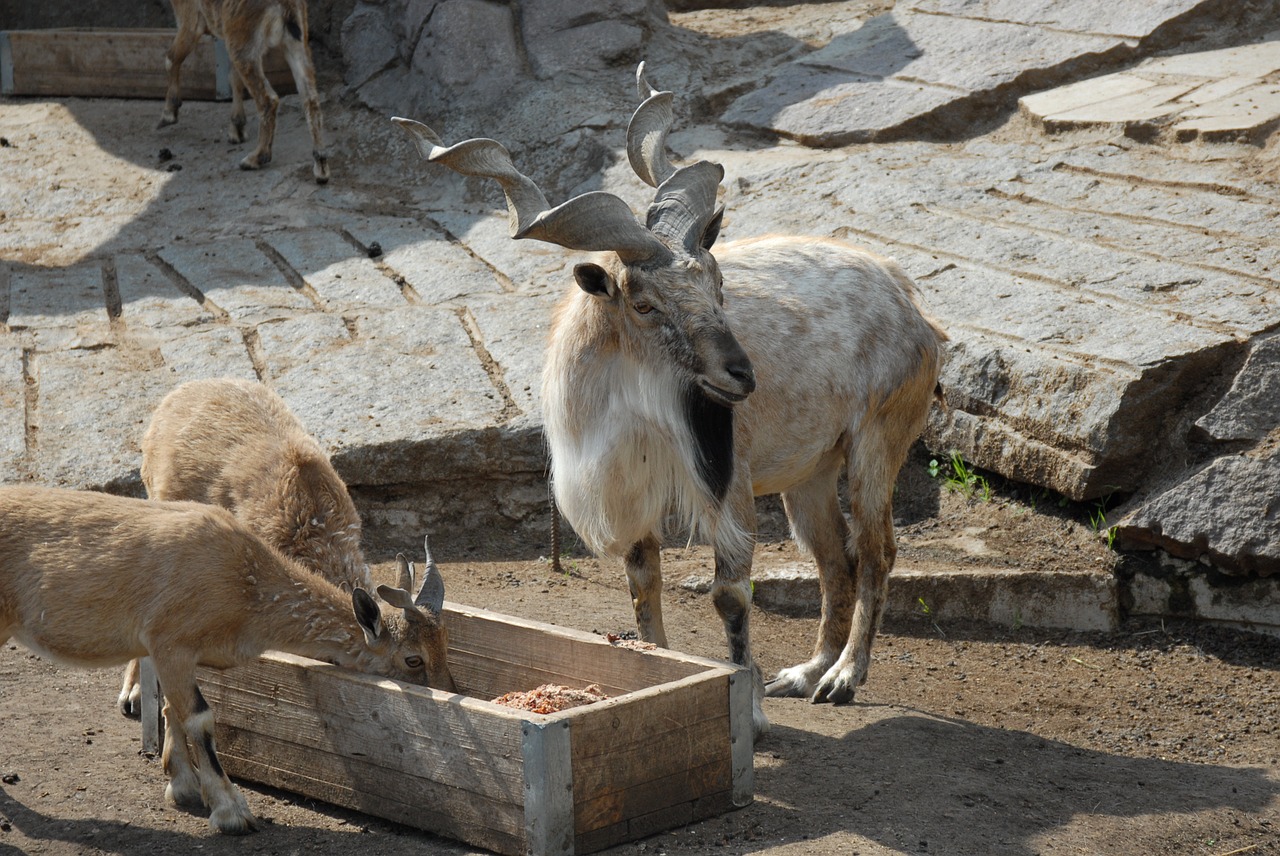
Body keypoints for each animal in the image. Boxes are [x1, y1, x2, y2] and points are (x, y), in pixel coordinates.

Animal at [0, 486, 450, 834]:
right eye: (413, 660)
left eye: (445, 645)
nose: (448, 692)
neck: (244, 587)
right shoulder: (170, 641)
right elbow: (200, 717)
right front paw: (232, 811)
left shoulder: (172, 653)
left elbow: (172, 708)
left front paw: (181, 786)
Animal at [115, 381, 455, 716]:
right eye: (413, 658)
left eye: (445, 643)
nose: (448, 691)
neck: (315, 530)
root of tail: (180, 393)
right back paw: (133, 694)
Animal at [159, 0, 327, 181]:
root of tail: (285, 5)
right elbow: (234, 77)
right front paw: (237, 129)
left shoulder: (190, 20)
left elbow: (171, 59)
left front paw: (168, 114)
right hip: (295, 43)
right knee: (310, 98)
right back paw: (321, 166)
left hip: (246, 45)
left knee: (268, 99)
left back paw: (254, 158)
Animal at [394, 65, 947, 742]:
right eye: (643, 303)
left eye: (717, 281)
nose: (741, 375)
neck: (633, 415)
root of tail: (910, 303)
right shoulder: (631, 500)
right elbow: (643, 589)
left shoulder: (727, 486)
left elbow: (729, 596)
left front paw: (750, 714)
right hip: (810, 473)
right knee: (833, 559)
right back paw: (806, 673)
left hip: (876, 442)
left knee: (875, 552)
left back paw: (843, 679)